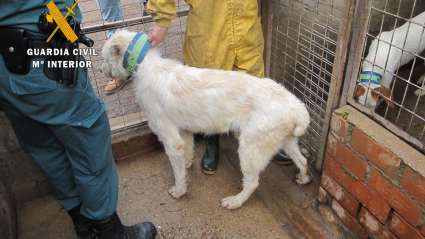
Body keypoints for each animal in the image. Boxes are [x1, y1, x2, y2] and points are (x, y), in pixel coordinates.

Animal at [100, 29, 312, 209]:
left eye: (104, 58)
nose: (101, 71)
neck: (147, 67)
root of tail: (297, 108)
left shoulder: (169, 138)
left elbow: (177, 172)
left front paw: (179, 190)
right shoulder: (184, 130)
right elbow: (188, 150)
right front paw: (187, 164)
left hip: (250, 150)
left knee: (252, 183)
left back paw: (235, 201)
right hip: (287, 142)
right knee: (303, 161)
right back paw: (304, 179)